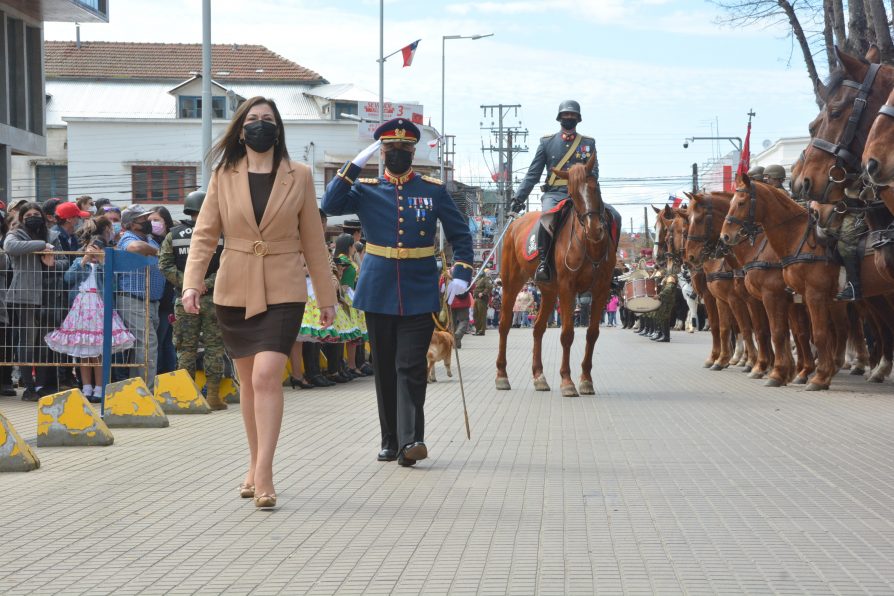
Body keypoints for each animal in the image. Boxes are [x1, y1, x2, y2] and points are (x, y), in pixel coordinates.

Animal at [496, 154, 616, 396]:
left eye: (595, 186)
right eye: (572, 193)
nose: (594, 229)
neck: (590, 245)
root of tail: (514, 223)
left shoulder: (600, 290)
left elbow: (592, 333)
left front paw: (586, 379)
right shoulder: (567, 288)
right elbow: (567, 333)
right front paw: (567, 381)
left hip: (549, 291)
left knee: (538, 328)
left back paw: (539, 377)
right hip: (512, 283)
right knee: (504, 324)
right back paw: (502, 376)